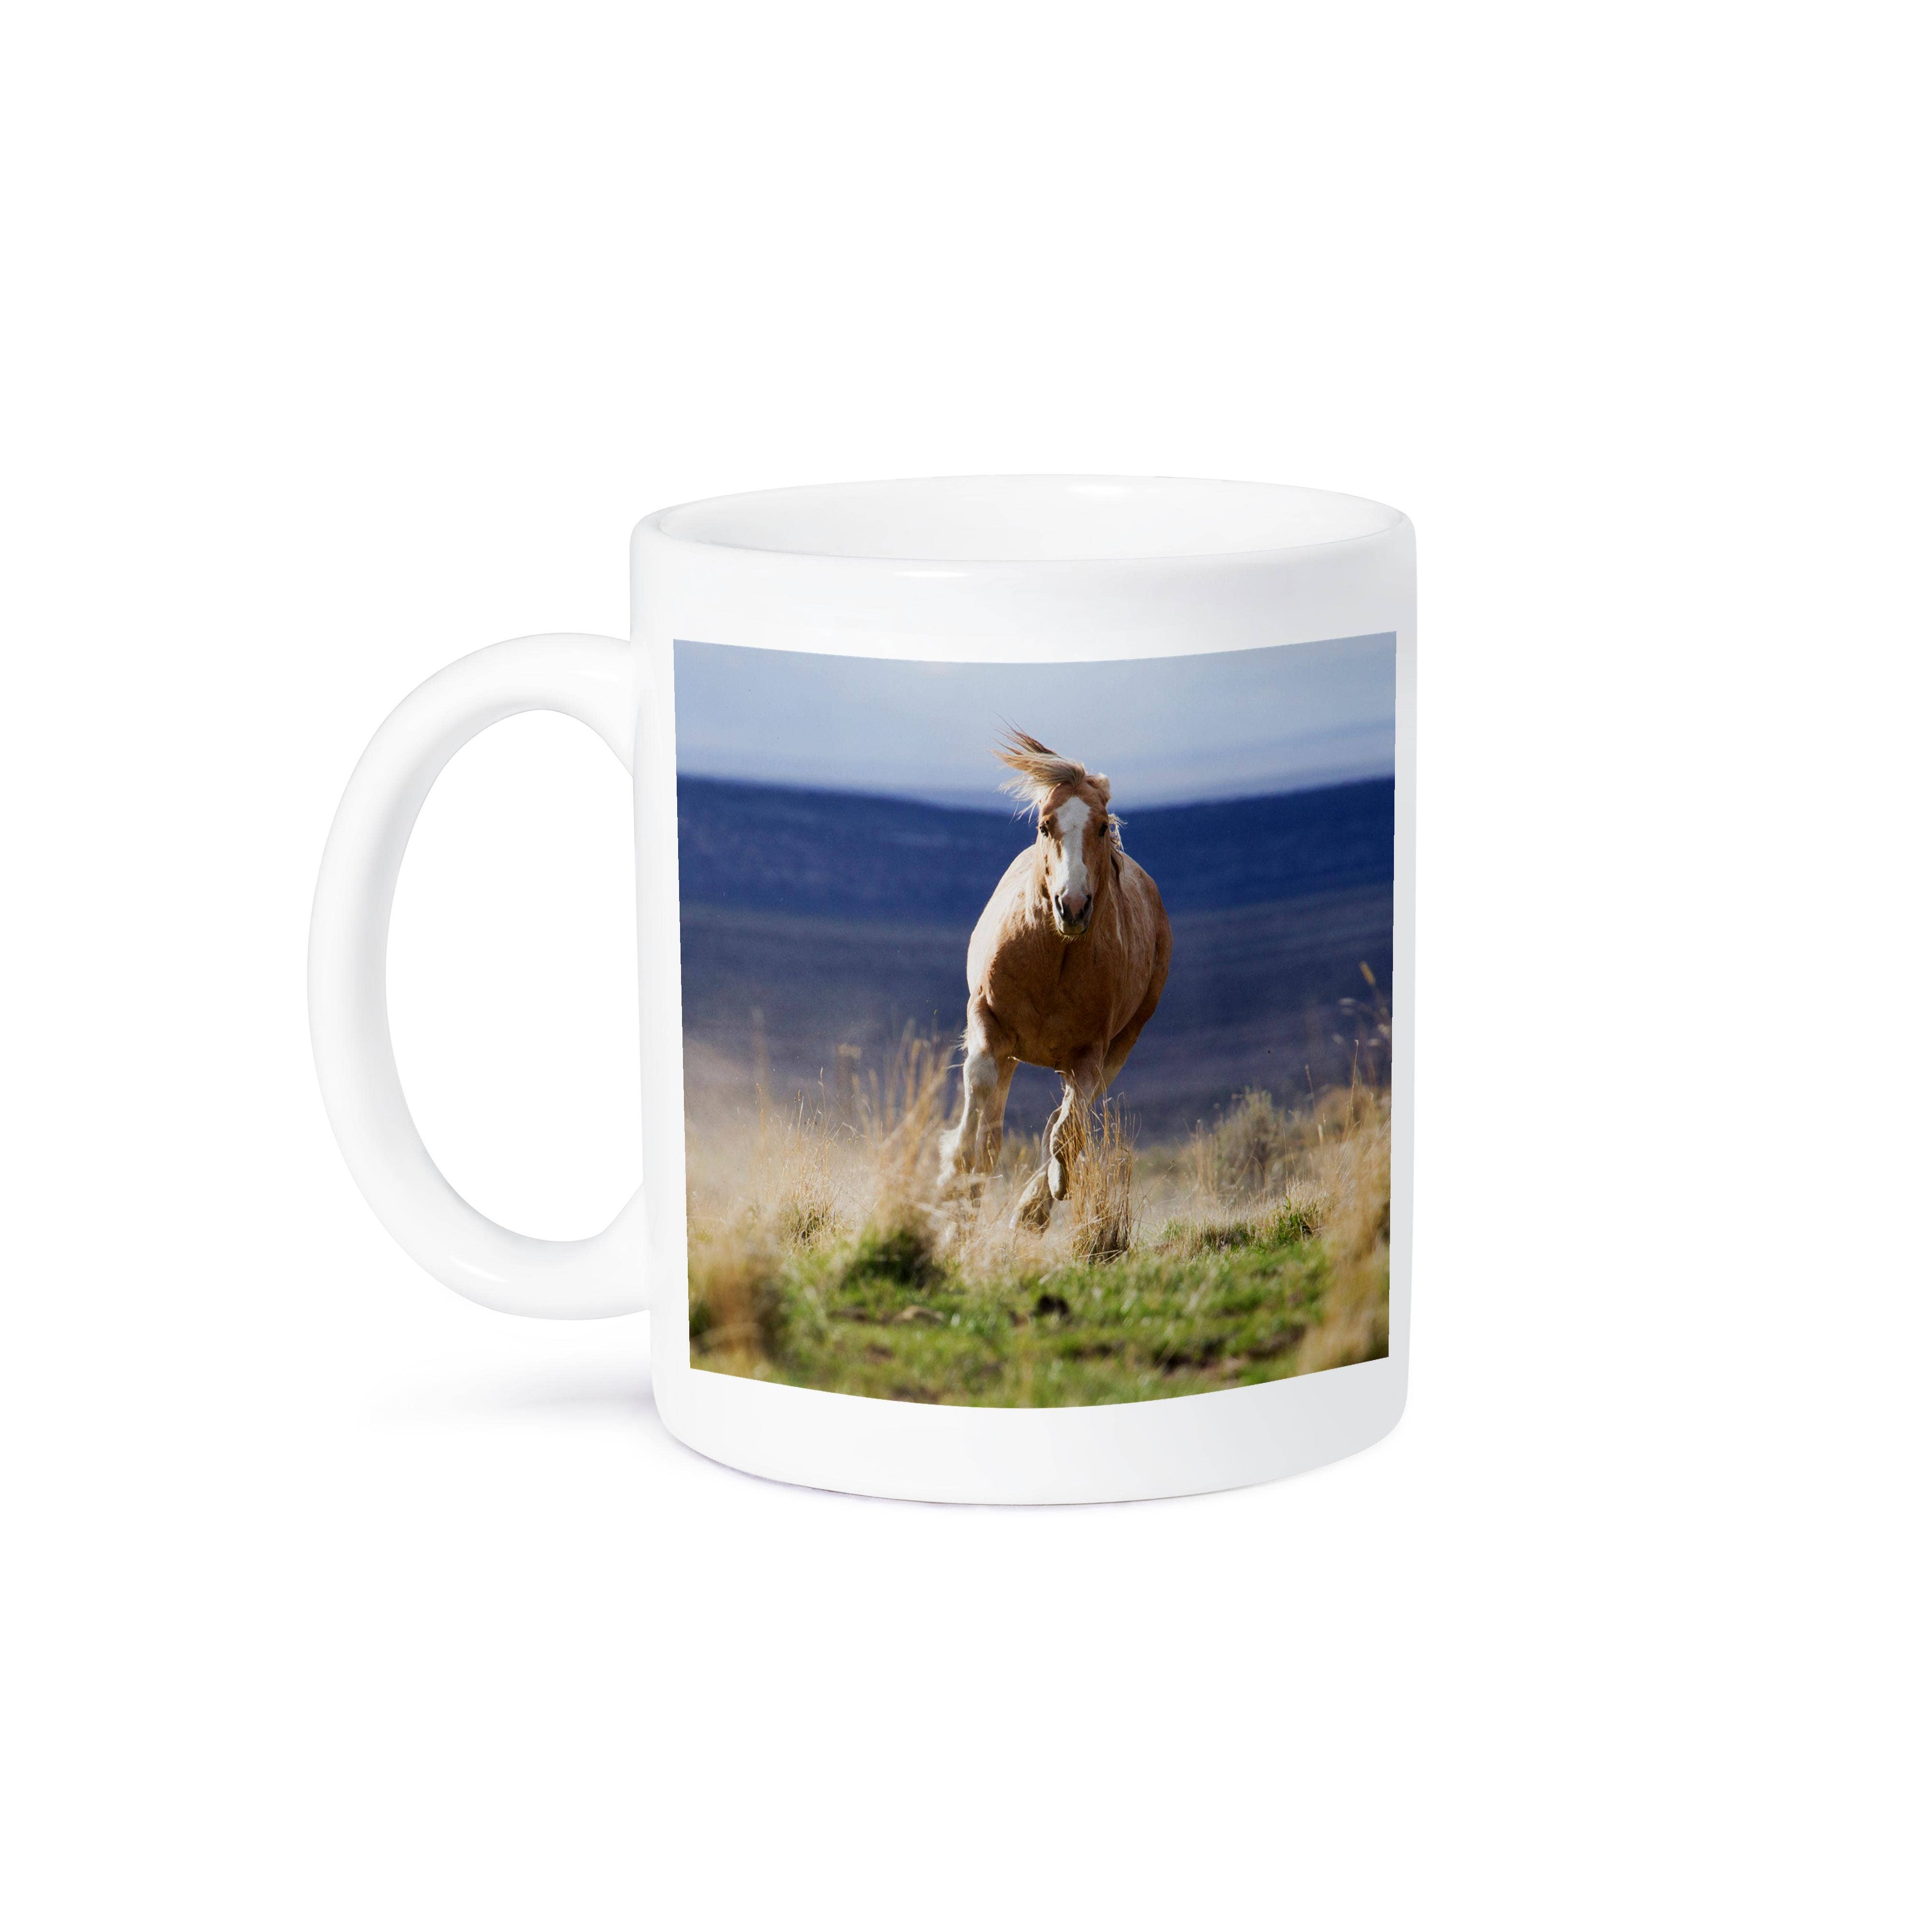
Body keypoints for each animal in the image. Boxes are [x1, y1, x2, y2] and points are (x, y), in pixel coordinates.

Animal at [937, 729, 1172, 1230]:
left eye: (1101, 826)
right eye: (1045, 826)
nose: (1074, 906)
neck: (1055, 961)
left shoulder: (1091, 1054)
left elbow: (1067, 1133)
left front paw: (1043, 1198)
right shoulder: (988, 1021)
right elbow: (979, 1096)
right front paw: (953, 1174)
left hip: (1119, 1047)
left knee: (1063, 1124)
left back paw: (1032, 1208)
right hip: (1013, 1051)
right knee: (994, 1135)